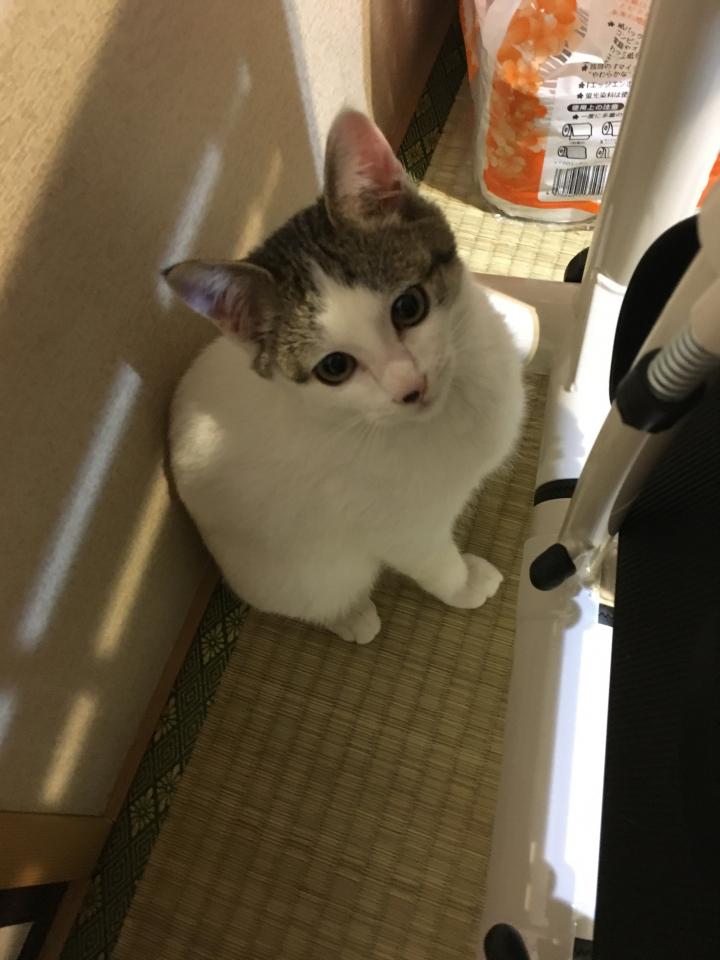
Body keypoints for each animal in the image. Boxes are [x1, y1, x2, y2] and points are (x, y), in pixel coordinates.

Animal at [164, 109, 524, 645]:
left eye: (408, 307)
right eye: (334, 368)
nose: (410, 386)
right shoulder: (401, 527)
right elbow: (433, 563)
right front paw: (464, 584)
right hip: (300, 568)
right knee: (318, 592)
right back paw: (350, 615)